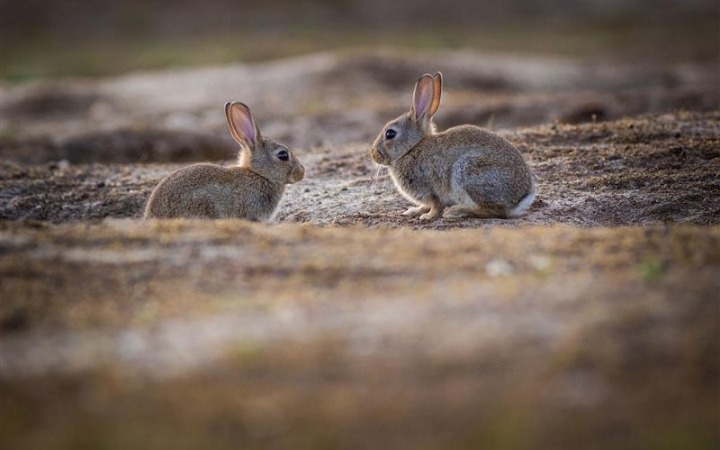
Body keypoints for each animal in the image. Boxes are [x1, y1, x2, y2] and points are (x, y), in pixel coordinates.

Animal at [370, 72, 535, 221]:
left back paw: (456, 211)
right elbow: (425, 205)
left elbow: (436, 205)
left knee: (495, 211)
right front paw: (413, 211)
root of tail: (520, 199)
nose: (373, 154)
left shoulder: (432, 188)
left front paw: (427, 217)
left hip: (468, 171)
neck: (412, 148)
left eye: (390, 133)